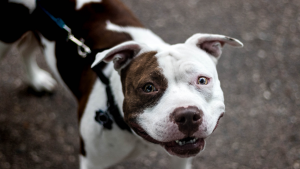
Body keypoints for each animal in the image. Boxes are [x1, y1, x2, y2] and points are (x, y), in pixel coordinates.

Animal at [0, 0, 243, 169]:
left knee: (26, 47)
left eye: (202, 80)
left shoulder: (181, 158)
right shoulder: (92, 162)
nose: (188, 115)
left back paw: (36, 80)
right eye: (148, 88)